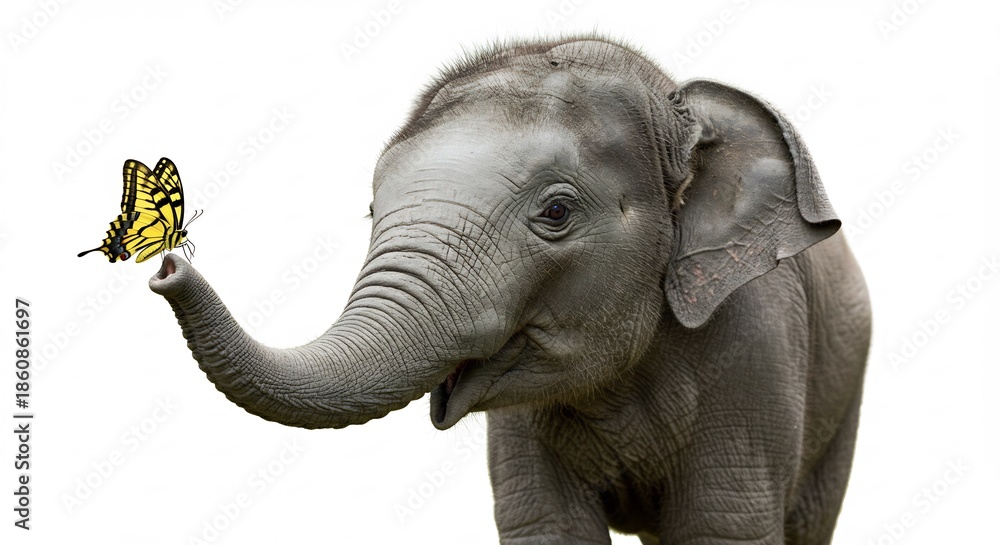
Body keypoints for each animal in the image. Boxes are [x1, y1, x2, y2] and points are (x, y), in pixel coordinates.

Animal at [150, 36, 871, 544]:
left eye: (556, 212)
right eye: (371, 211)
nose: (164, 267)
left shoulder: (756, 347)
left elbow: (722, 525)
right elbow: (548, 527)